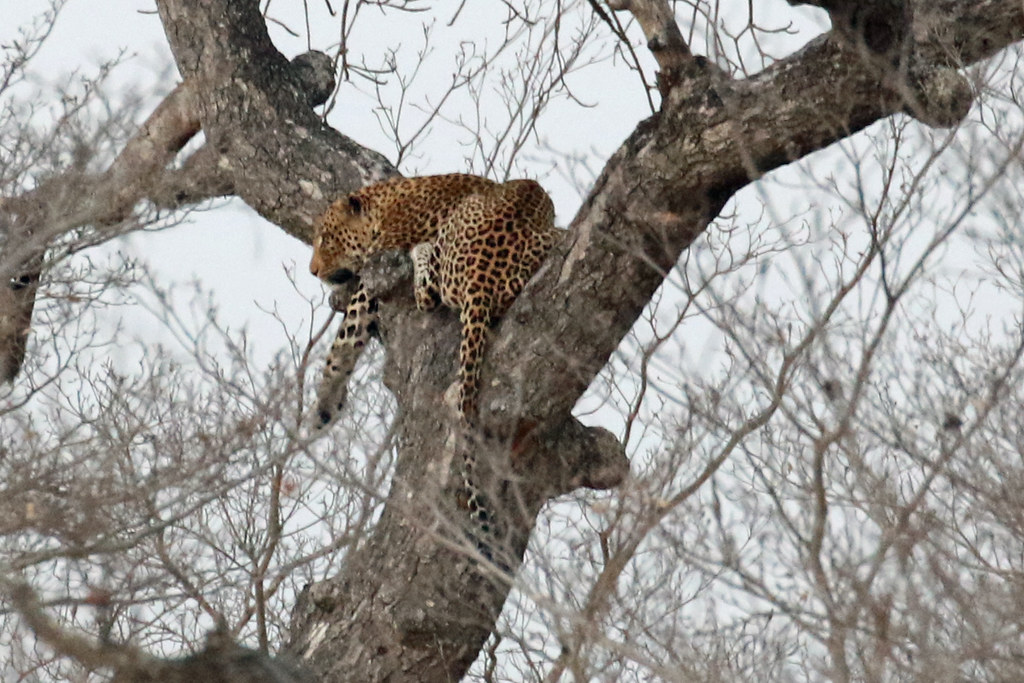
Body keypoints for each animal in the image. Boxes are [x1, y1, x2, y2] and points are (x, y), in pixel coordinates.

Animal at [309, 173, 562, 552]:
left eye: (326, 238)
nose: (312, 271)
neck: (385, 204)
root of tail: (481, 281)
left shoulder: (376, 272)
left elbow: (346, 335)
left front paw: (325, 401)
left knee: (429, 292)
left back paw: (422, 255)